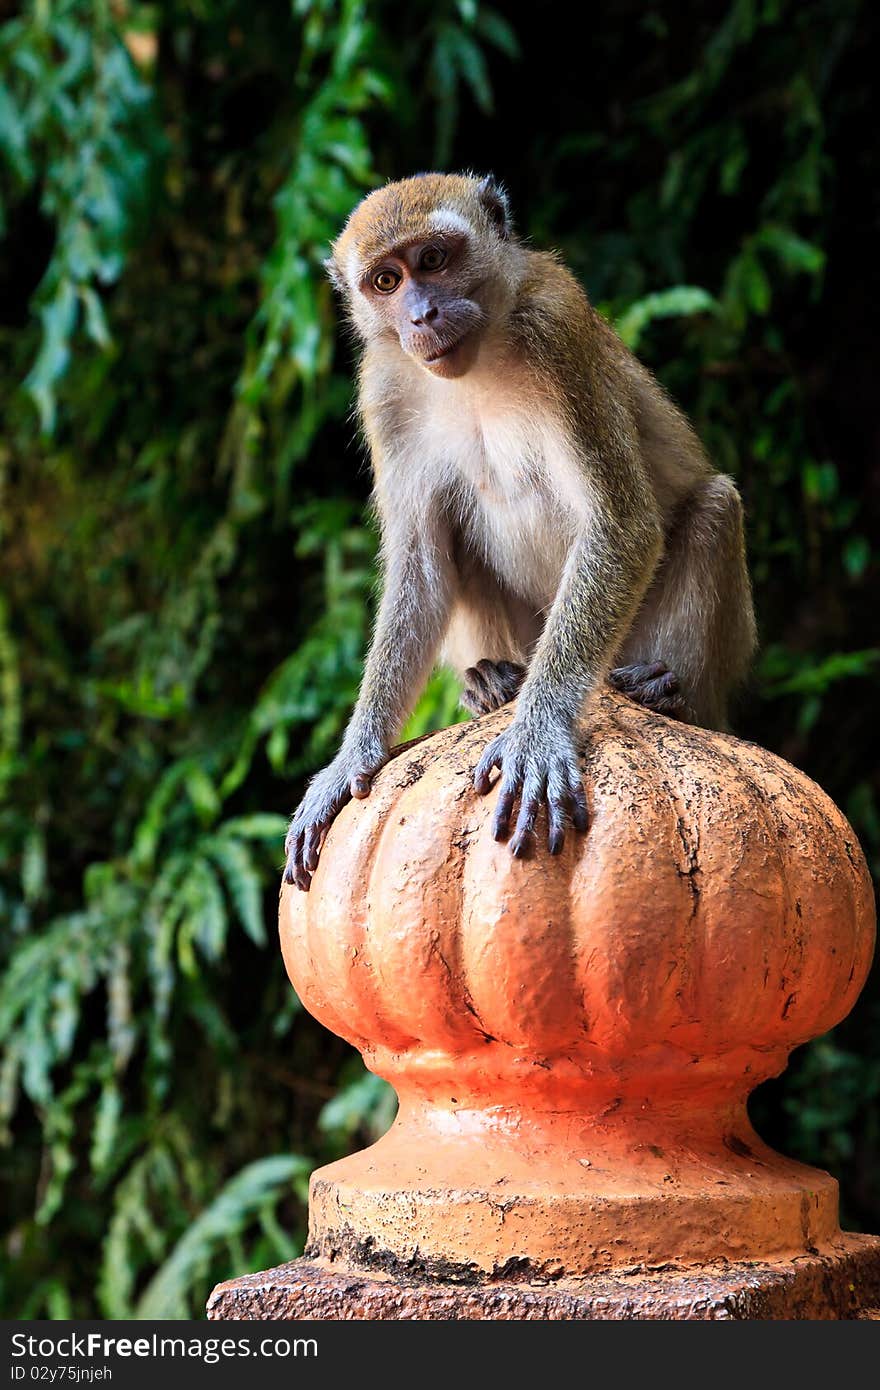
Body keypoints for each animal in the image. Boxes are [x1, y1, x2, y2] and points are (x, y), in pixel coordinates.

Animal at [283, 173, 756, 889]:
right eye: (387, 281)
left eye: (433, 260)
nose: (421, 315)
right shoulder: (385, 388)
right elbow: (422, 565)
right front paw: (352, 757)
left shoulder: (555, 331)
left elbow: (621, 524)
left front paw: (537, 730)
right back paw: (492, 684)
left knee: (713, 509)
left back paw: (665, 695)